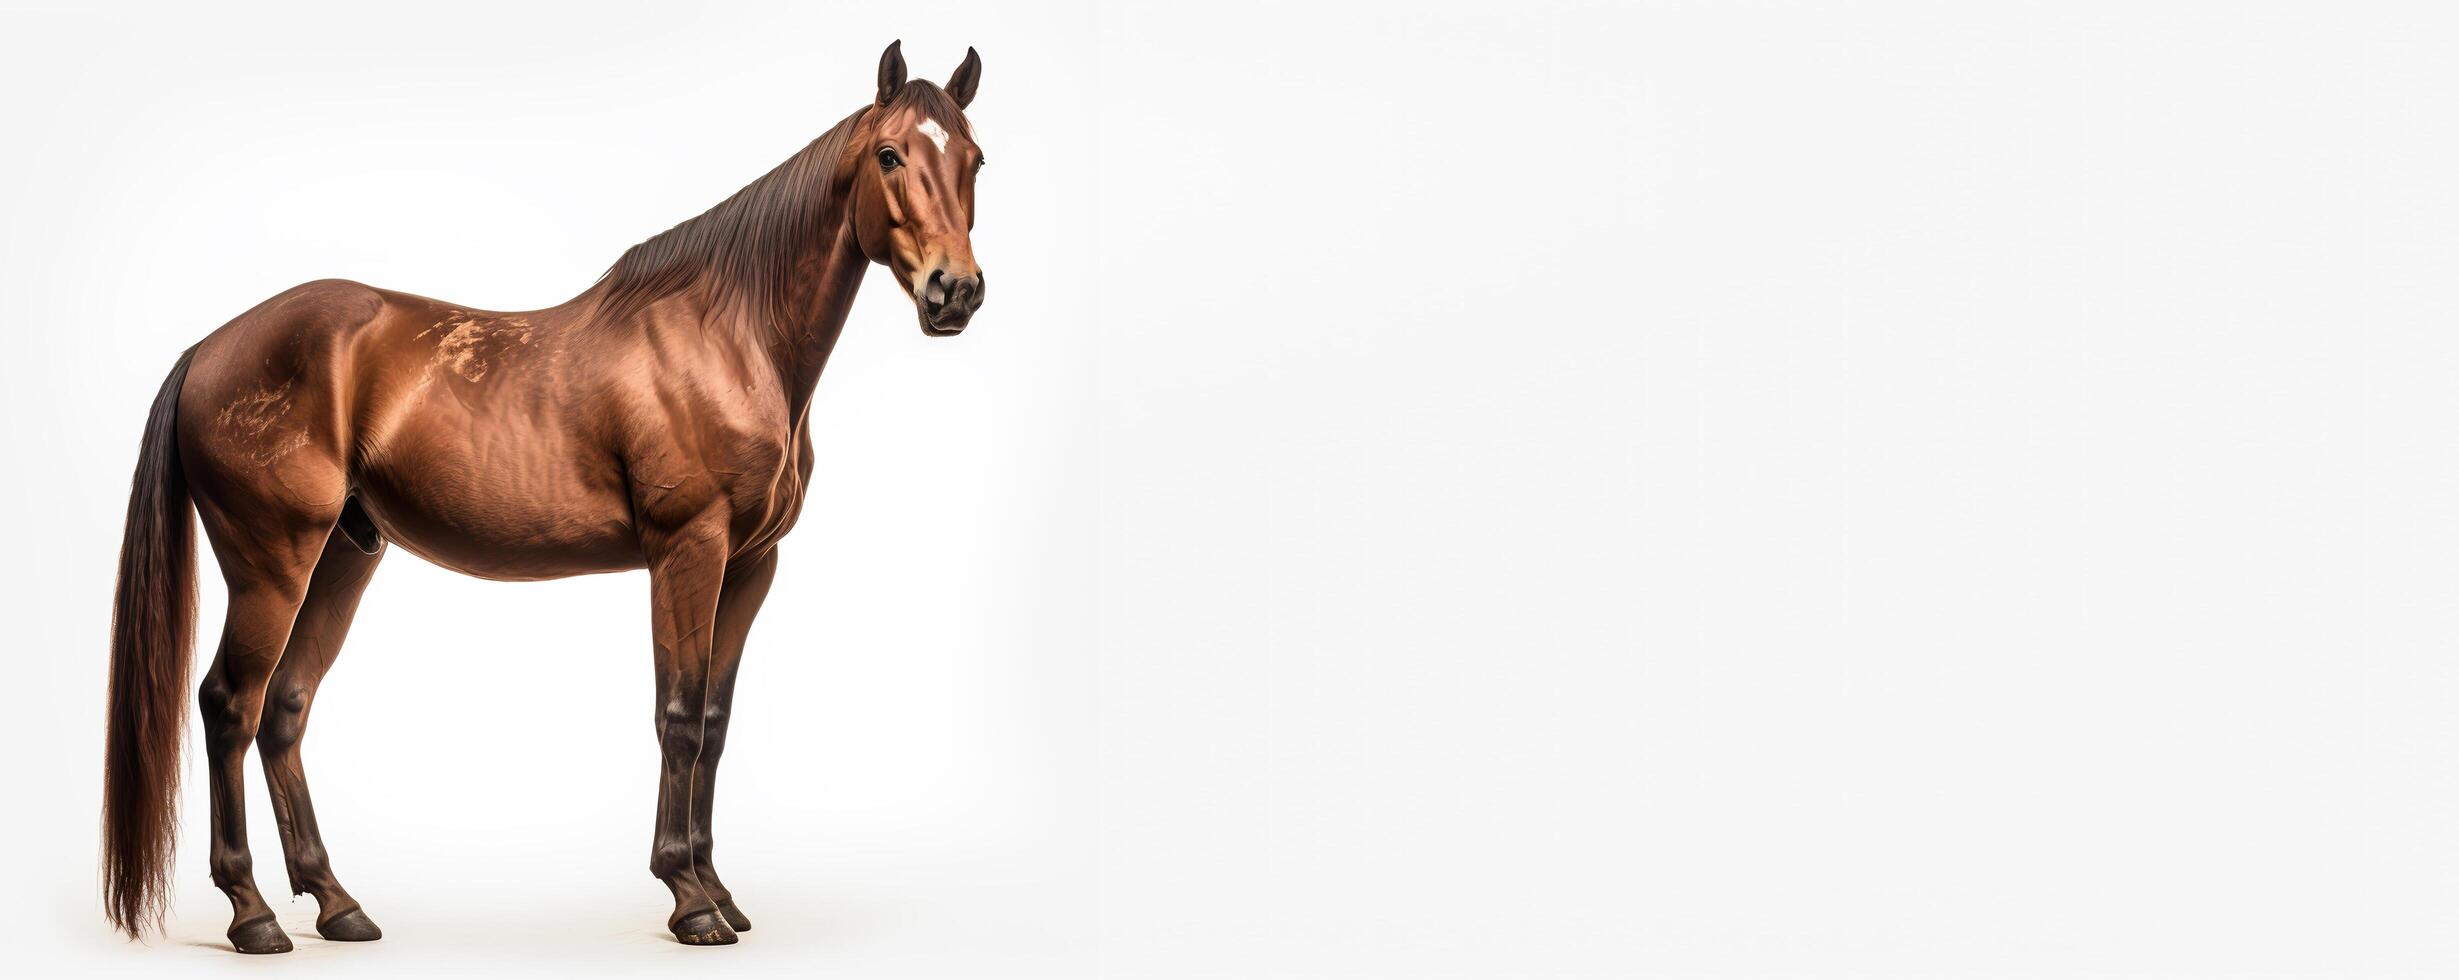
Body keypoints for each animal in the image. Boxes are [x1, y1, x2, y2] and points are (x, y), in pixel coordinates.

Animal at [103, 42, 988, 957]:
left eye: (974, 159)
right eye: (889, 155)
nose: (953, 292)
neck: (728, 334)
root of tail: (210, 347)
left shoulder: (750, 564)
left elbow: (714, 721)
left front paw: (719, 890)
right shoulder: (687, 551)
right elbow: (678, 714)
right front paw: (689, 900)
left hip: (344, 558)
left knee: (284, 710)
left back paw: (336, 904)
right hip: (272, 565)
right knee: (228, 707)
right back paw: (253, 914)